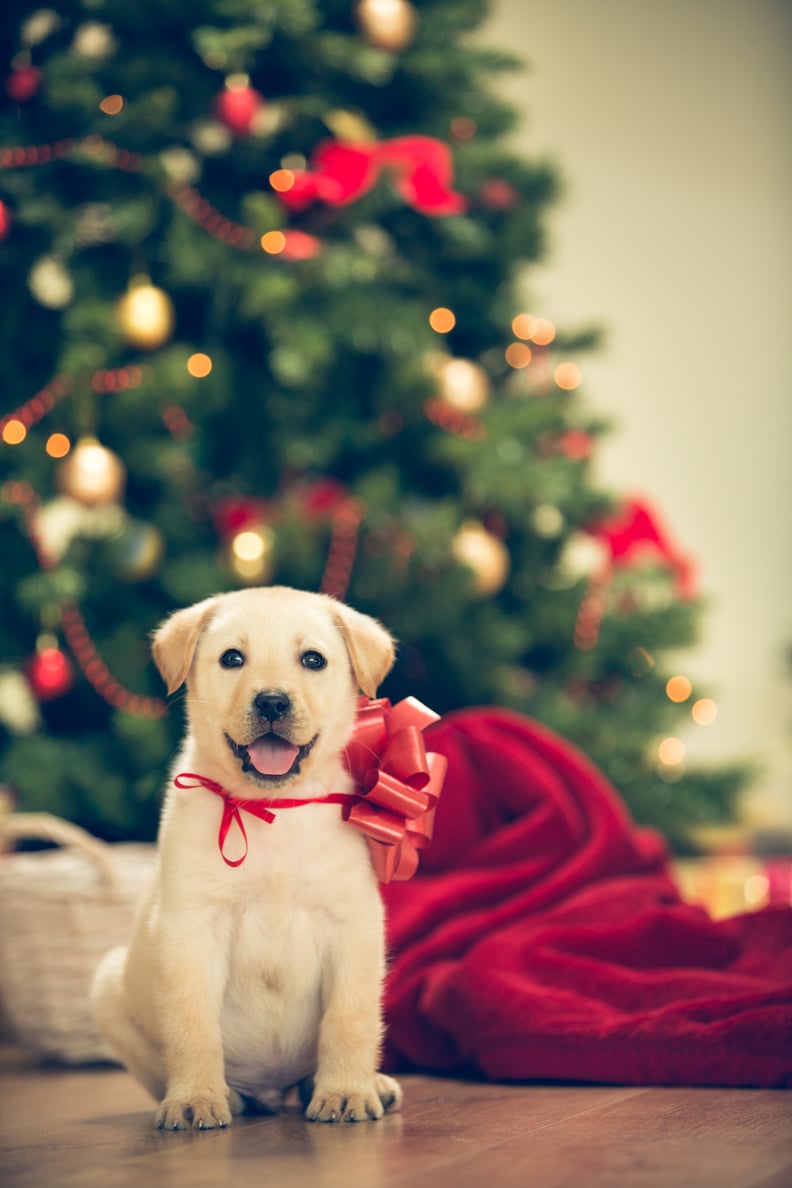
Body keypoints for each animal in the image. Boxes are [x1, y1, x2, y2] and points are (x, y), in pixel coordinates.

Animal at [91, 589, 403, 1126]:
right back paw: (227, 1095)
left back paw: (365, 1084)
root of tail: (271, 1091)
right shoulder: (189, 928)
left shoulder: (354, 925)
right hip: (108, 988)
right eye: (232, 659)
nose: (272, 702)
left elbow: (350, 1019)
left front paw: (345, 1090)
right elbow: (191, 1024)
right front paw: (195, 1098)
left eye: (313, 660)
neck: (271, 809)